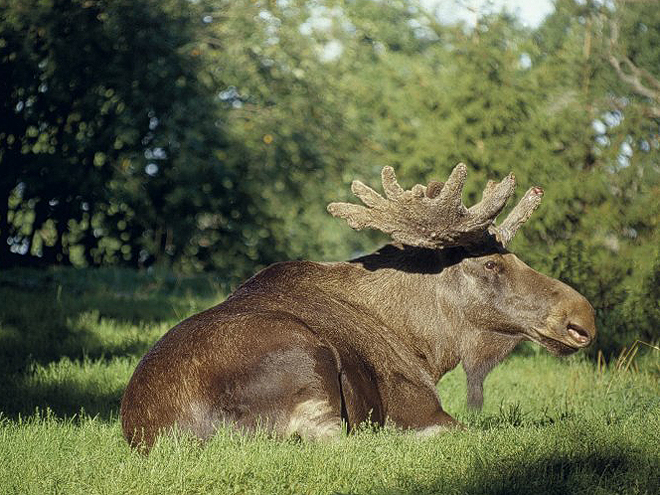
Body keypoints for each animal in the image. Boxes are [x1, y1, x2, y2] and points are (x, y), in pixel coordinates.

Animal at [121, 166, 596, 450]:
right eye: (491, 264)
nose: (583, 320)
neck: (428, 345)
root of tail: (165, 434)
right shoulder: (419, 407)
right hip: (309, 362)